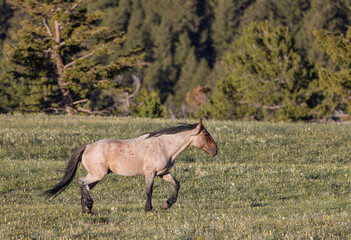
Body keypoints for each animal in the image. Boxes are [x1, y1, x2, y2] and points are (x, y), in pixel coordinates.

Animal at [45, 120, 219, 214]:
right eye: (206, 135)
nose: (216, 150)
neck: (163, 146)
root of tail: (87, 146)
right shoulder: (150, 173)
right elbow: (149, 191)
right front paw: (149, 208)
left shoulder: (163, 173)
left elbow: (177, 184)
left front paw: (167, 204)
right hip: (97, 174)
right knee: (81, 182)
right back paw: (88, 205)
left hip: (96, 176)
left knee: (85, 186)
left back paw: (87, 210)